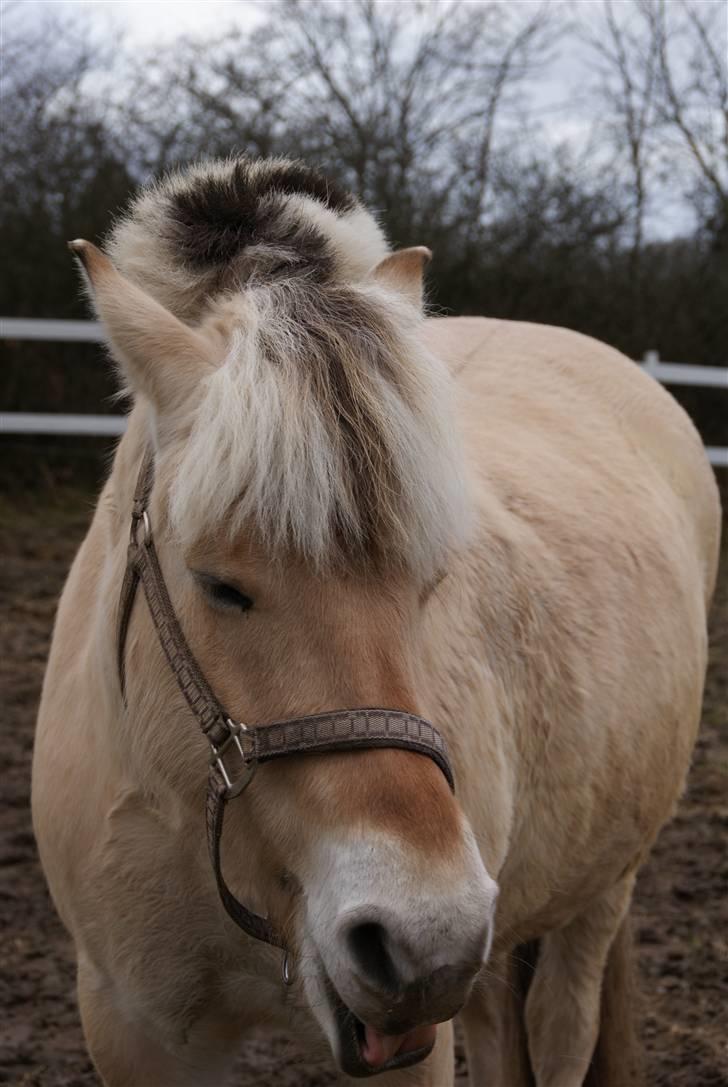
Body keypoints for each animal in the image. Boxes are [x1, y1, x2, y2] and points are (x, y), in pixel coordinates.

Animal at [32, 157, 717, 1082]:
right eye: (218, 585)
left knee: (562, 1024)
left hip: (599, 889)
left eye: (428, 584)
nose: (426, 939)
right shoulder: (133, 1026)